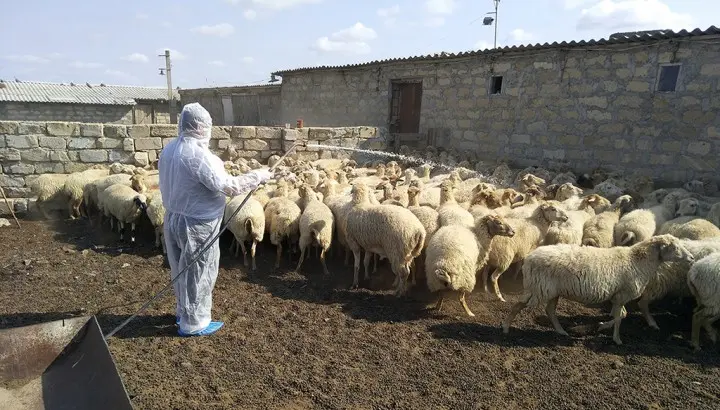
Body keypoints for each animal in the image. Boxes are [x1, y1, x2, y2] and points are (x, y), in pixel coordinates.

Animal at [504, 235, 696, 344]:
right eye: (674, 247)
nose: (692, 258)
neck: (637, 260)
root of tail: (529, 258)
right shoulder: (623, 294)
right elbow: (620, 317)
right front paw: (617, 339)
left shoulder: (618, 296)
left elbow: (621, 315)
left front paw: (602, 326)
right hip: (539, 288)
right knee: (517, 306)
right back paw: (505, 328)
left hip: (551, 291)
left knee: (550, 310)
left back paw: (561, 331)